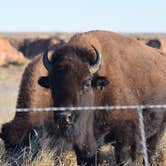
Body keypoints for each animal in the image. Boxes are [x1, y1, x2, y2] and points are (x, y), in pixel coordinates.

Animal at [38, 30, 166, 165]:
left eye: (87, 83)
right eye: (52, 84)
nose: (64, 117)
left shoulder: (125, 139)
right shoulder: (84, 145)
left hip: (158, 130)